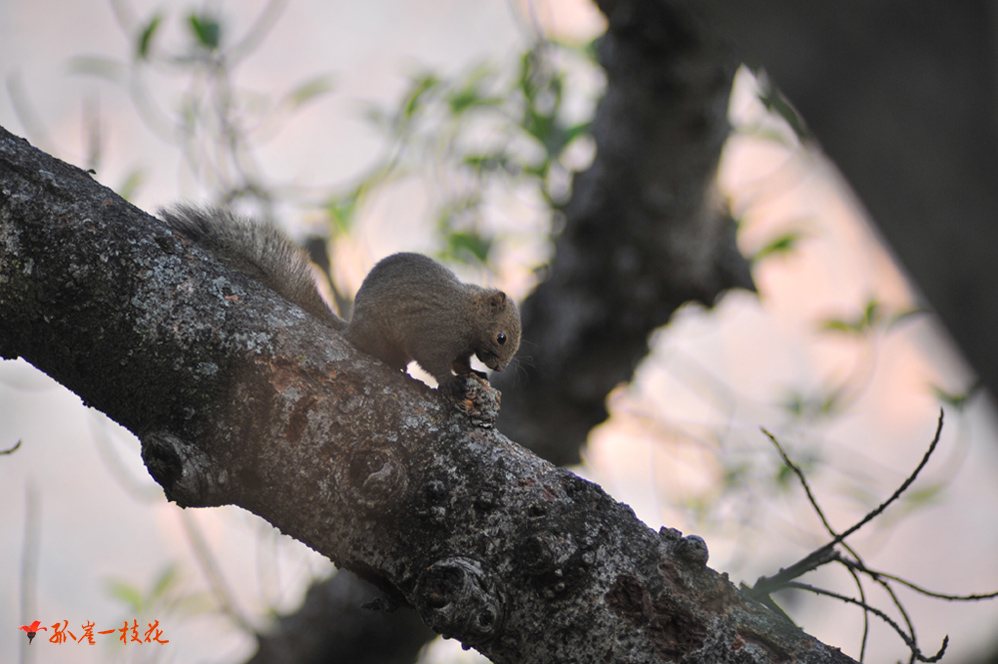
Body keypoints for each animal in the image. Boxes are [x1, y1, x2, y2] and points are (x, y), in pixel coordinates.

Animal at [162, 206, 524, 394]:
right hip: (377, 335)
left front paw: (474, 374)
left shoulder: (462, 346)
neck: (467, 314)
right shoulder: (434, 331)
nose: (501, 368)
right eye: (501, 337)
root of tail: (349, 328)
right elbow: (434, 362)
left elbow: (461, 362)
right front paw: (449, 384)